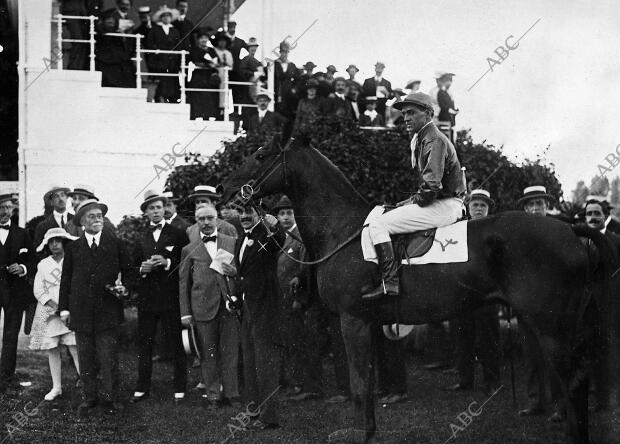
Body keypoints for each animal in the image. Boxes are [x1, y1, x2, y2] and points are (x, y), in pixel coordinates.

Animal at [220, 135, 612, 444]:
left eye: (260, 154)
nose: (225, 187)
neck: (343, 230)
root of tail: (570, 229)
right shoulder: (371, 324)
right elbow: (369, 384)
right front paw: (370, 431)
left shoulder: (352, 320)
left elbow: (359, 384)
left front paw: (359, 434)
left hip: (552, 329)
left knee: (575, 384)